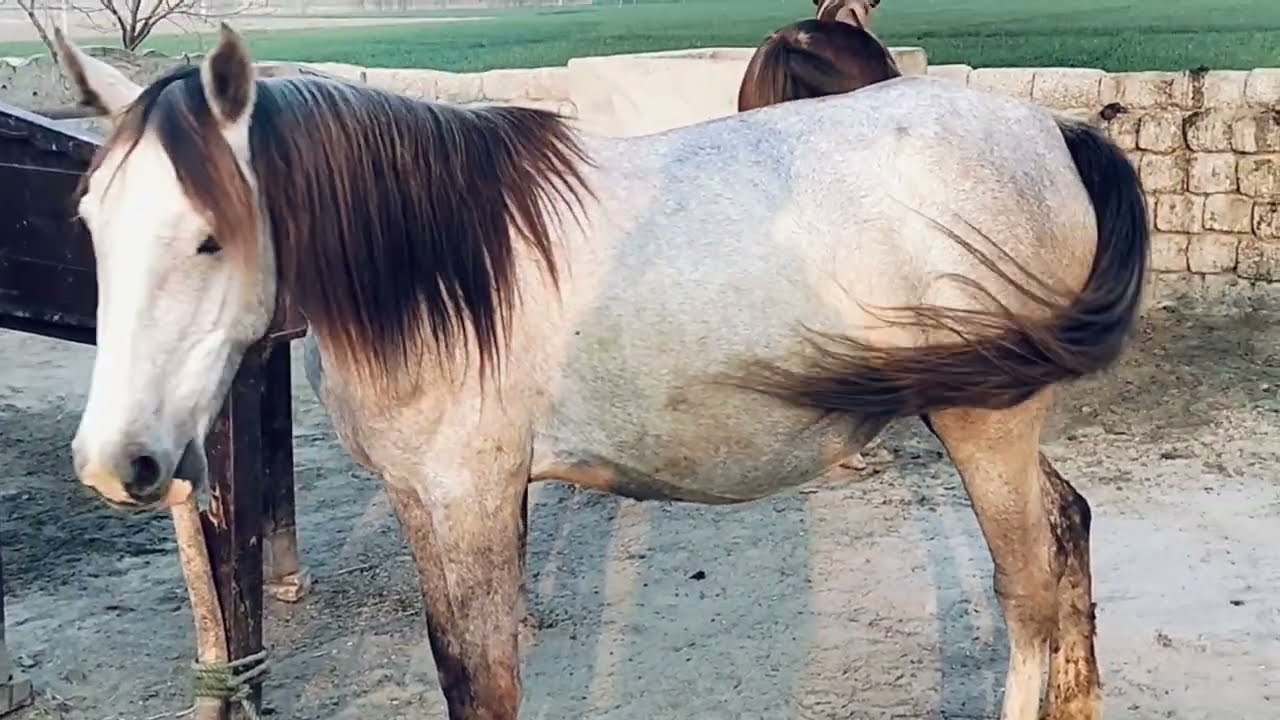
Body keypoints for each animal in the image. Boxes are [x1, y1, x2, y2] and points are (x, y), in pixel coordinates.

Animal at [58, 23, 1146, 720]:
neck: (438, 270)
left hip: (983, 421)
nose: (118, 462)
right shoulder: (426, 499)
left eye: (210, 238)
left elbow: (484, 681)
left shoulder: (471, 498)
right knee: (1068, 523)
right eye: (89, 221)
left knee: (1026, 591)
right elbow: (460, 666)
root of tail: (1052, 132)